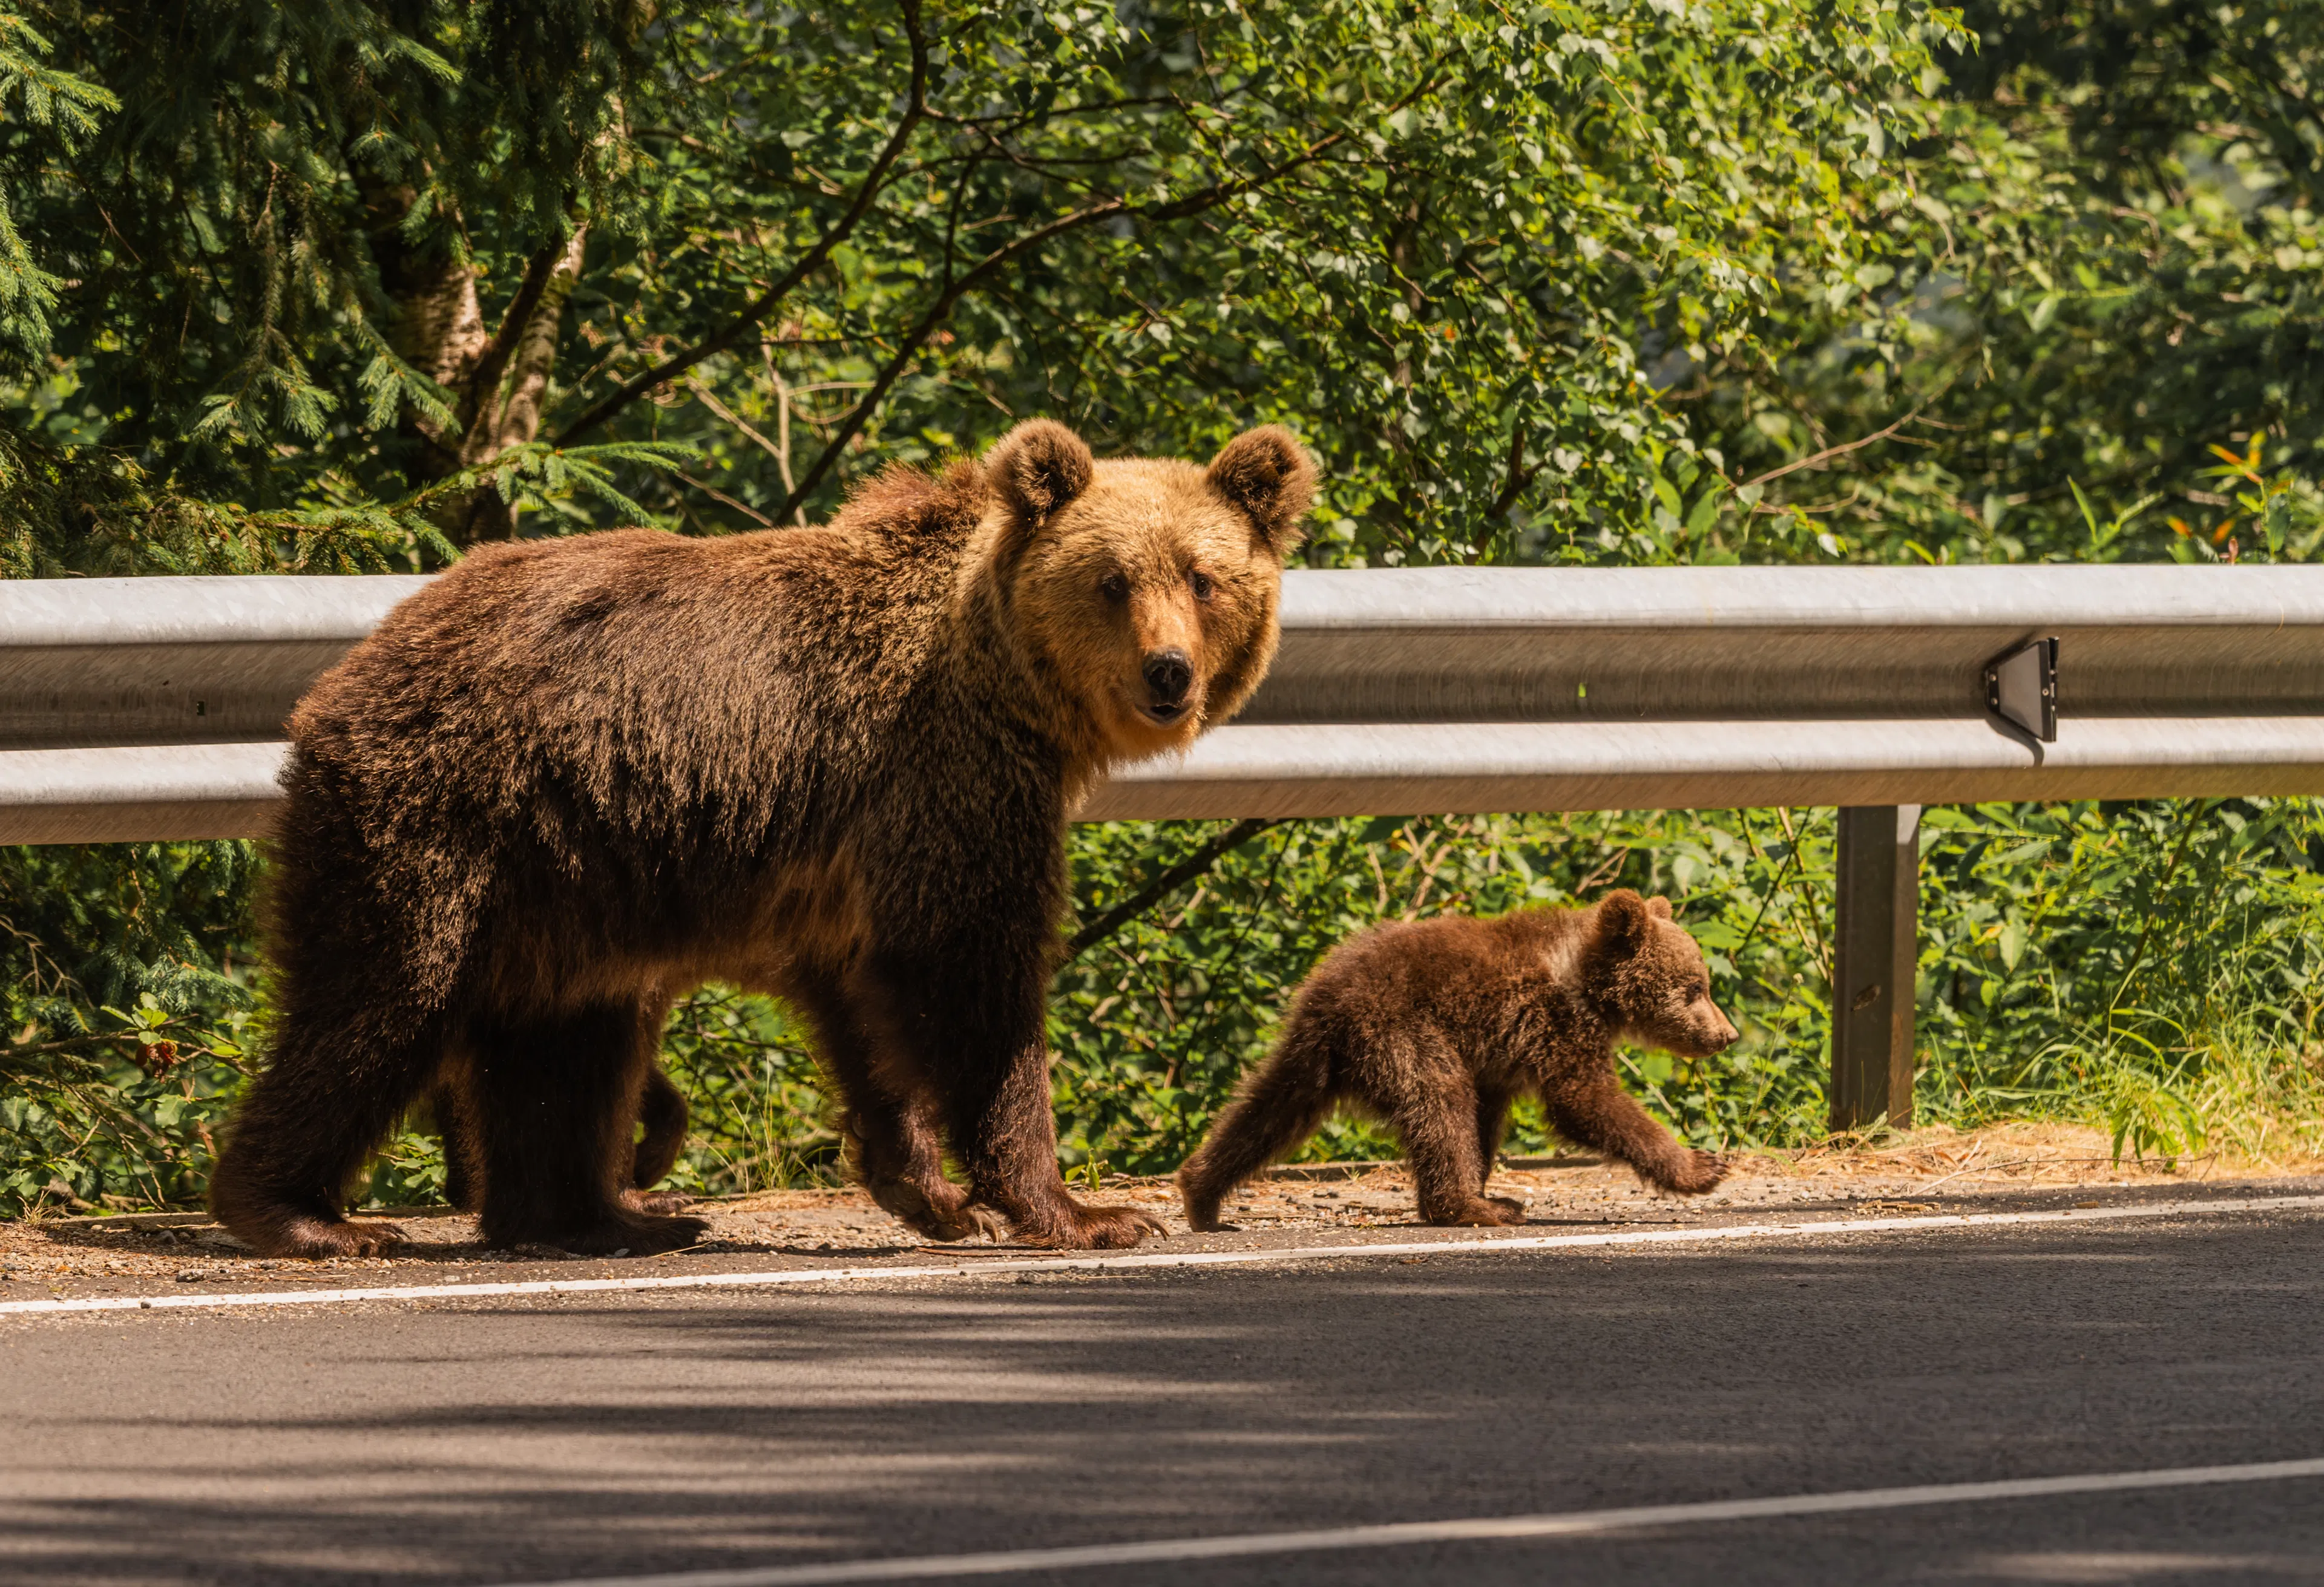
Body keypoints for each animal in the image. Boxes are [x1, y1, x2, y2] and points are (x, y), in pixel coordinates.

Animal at [208, 418, 1313, 1260]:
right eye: (1113, 580)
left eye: (1204, 578)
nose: (1169, 672)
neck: (1008, 685)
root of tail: (348, 669)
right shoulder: (949, 780)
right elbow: (973, 977)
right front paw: (1084, 1208)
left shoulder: (854, 851)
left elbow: (863, 1002)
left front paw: (928, 1191)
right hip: (442, 820)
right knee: (382, 998)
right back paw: (308, 1215)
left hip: (565, 870)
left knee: (568, 1038)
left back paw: (608, 1216)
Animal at [1176, 890, 1737, 1231]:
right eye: (1695, 987)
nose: (1726, 1034)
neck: (1592, 986)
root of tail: (1330, 995)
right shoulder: (1558, 1024)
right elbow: (1586, 1101)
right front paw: (1703, 1166)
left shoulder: (1499, 1056)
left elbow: (1489, 1119)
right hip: (1404, 1030)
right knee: (1441, 1101)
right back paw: (1477, 1206)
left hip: (1315, 1053)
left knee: (1267, 1109)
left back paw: (1203, 1196)